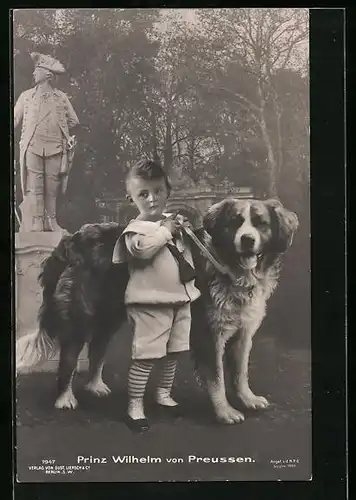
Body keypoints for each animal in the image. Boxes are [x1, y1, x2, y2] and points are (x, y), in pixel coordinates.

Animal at [15, 197, 298, 424]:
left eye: (261, 223)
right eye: (235, 223)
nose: (247, 240)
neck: (227, 266)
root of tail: (71, 241)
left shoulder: (242, 334)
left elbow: (240, 372)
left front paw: (247, 399)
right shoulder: (209, 335)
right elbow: (217, 377)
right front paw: (225, 412)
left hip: (108, 316)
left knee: (97, 348)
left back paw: (95, 386)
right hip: (80, 318)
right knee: (69, 357)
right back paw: (65, 398)